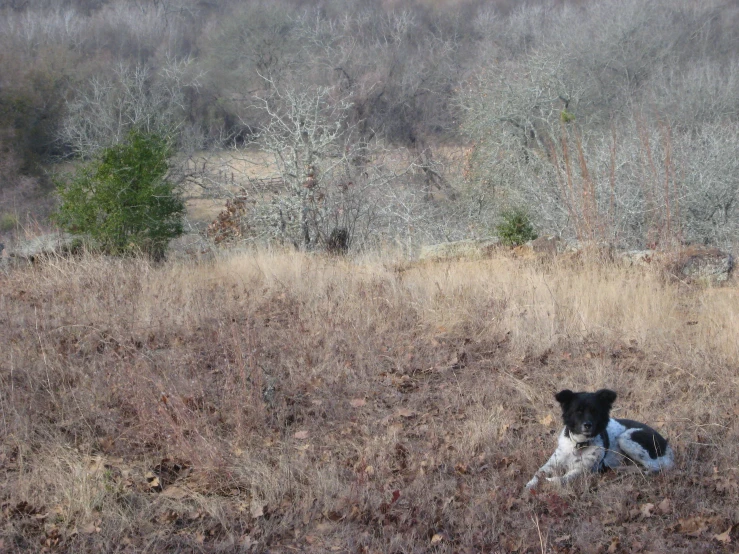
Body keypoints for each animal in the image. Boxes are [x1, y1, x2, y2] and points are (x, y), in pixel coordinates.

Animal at [528, 388, 676, 488]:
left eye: (595, 411)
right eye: (578, 411)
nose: (588, 425)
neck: (579, 445)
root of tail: (668, 448)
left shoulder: (585, 470)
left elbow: (563, 478)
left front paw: (552, 481)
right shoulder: (553, 462)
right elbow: (539, 472)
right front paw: (530, 485)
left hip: (626, 437)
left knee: (653, 467)